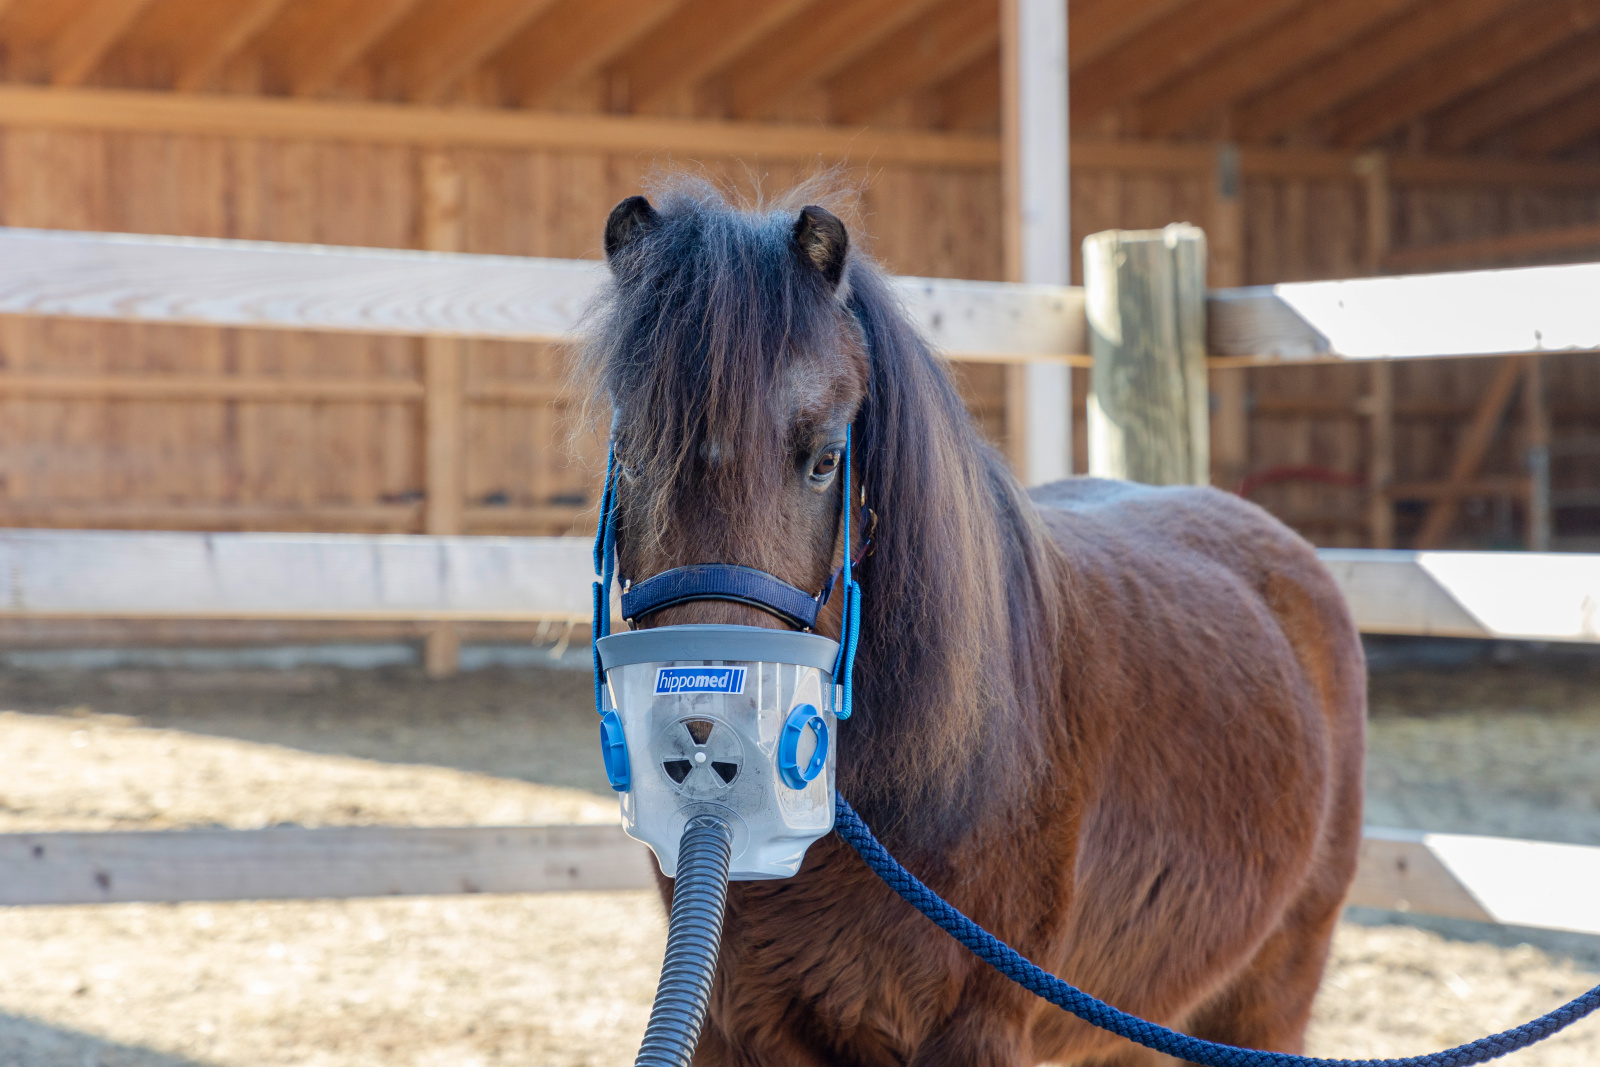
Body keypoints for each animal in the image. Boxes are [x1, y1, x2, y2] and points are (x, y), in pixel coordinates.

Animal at [588, 179, 1363, 1062]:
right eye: (632, 457)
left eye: (825, 458)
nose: (707, 735)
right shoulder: (729, 1024)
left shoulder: (975, 1029)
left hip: (1267, 995)